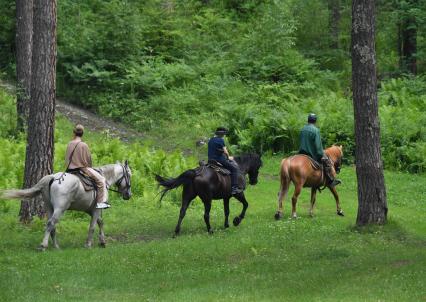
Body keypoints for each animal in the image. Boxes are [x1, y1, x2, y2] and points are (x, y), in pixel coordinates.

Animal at [0, 160, 131, 250]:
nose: (128, 195)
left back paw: (56, 246)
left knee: (52, 225)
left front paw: (102, 242)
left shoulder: (91, 210)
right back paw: (43, 245)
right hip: (60, 209)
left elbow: (100, 222)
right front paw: (88, 244)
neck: (104, 179)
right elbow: (93, 226)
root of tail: (52, 177)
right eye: (129, 175)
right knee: (51, 223)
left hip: (50, 208)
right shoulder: (96, 209)